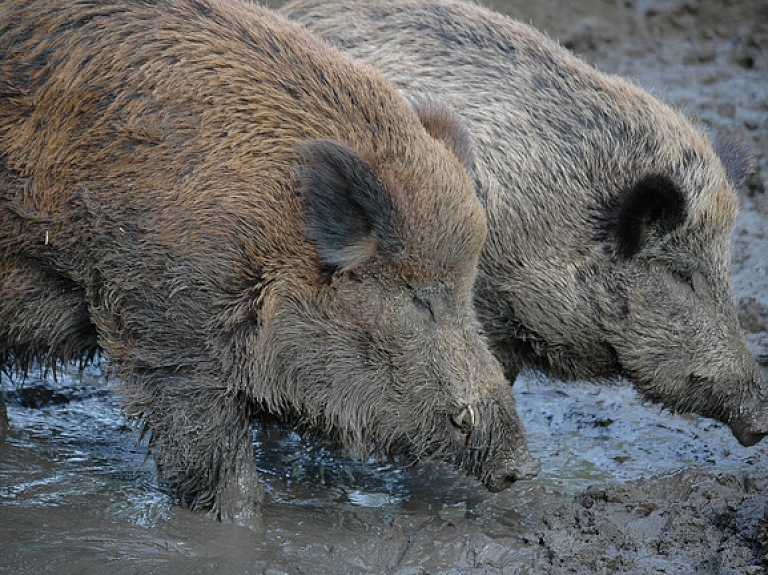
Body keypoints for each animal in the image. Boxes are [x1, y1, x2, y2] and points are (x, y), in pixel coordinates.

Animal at [0, 0, 536, 528]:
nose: (520, 467)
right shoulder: (169, 326)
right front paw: (238, 525)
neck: (271, 236)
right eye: (420, 298)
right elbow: (218, 466)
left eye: (468, 288)